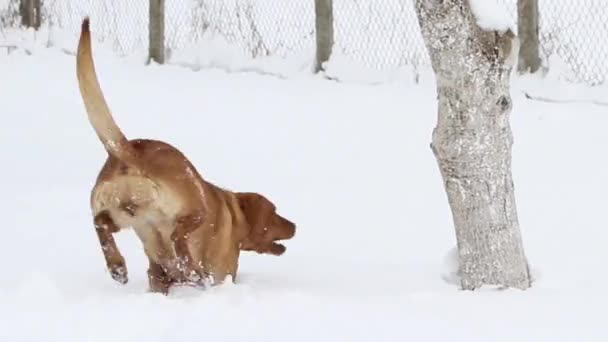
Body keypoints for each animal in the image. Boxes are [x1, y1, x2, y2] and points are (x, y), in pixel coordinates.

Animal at [77, 17, 296, 294]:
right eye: (275, 211)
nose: (295, 225)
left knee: (100, 224)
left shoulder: (157, 276)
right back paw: (190, 268)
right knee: (178, 236)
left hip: (117, 212)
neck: (235, 214)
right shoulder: (222, 273)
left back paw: (118, 266)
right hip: (192, 207)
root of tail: (131, 150)